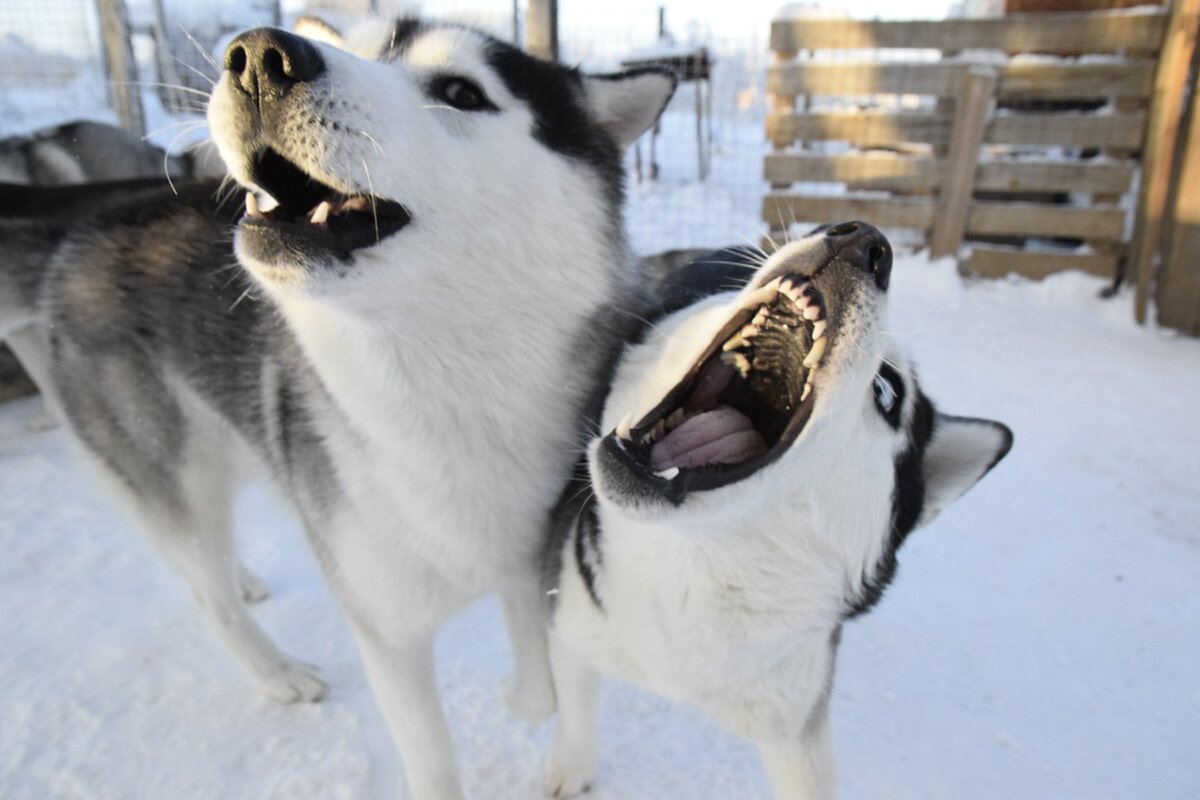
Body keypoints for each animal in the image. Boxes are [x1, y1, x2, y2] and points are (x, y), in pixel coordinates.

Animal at [0, 18, 676, 800]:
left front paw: (525, 697)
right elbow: (434, 764)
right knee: (204, 587)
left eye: (461, 92)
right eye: (356, 46)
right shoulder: (389, 634)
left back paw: (246, 577)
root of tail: (85, 221)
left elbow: (541, 680)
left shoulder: (530, 558)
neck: (448, 408)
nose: (260, 56)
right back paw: (276, 671)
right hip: (175, 475)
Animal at [544, 221, 1012, 796]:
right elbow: (575, 714)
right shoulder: (570, 631)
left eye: (887, 391)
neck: (692, 560)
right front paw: (571, 770)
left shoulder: (796, 732)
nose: (863, 238)